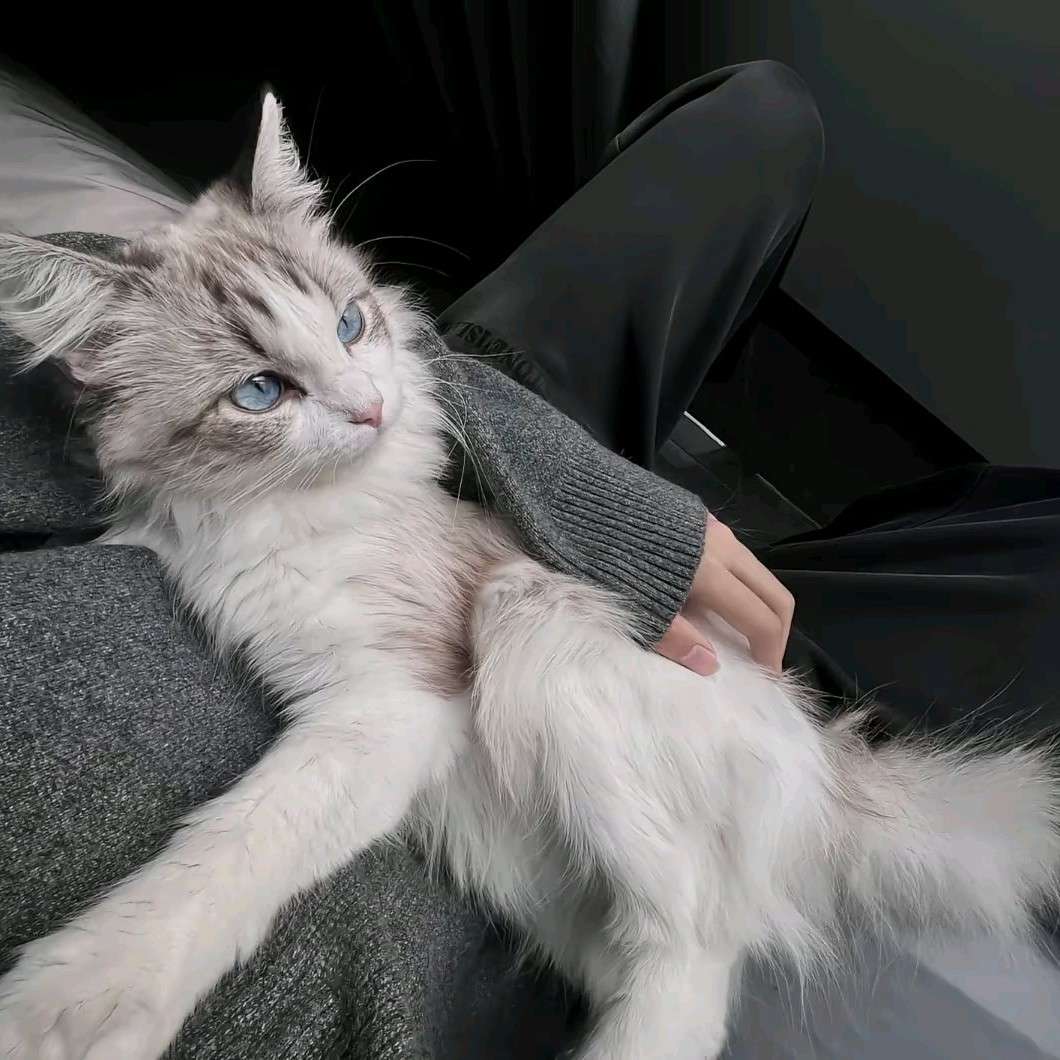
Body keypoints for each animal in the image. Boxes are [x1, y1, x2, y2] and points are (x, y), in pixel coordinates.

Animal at [0, 93, 1057, 1060]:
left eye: (351, 324)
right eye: (260, 392)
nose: (372, 406)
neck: (288, 513)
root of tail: (831, 768)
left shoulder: (395, 701)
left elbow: (235, 847)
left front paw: (74, 1003)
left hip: (535, 619)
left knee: (698, 952)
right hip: (539, 867)